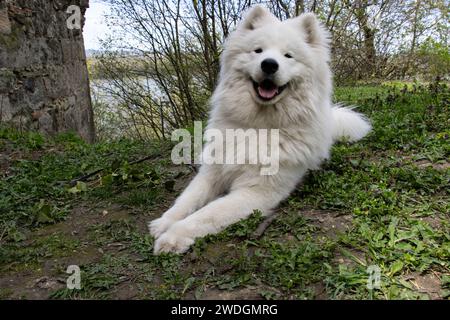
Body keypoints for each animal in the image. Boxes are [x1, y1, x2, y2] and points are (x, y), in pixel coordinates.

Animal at [148, 5, 370, 255]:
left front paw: (173, 236)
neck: (257, 125)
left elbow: (207, 214)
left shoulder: (255, 192)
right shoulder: (212, 172)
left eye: (288, 56)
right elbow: (186, 199)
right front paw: (163, 223)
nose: (269, 64)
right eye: (258, 51)